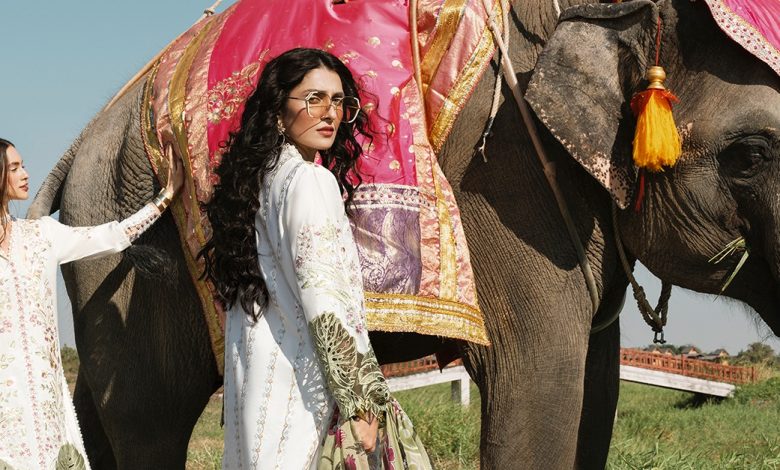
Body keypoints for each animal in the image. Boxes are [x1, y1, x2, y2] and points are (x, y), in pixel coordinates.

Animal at [28, 0, 780, 468]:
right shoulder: (504, 180)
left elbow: (595, 391)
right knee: (148, 423)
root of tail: (77, 147)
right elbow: (541, 380)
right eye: (751, 154)